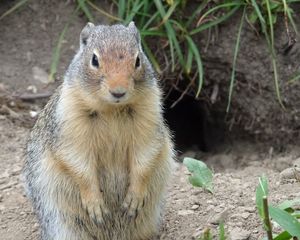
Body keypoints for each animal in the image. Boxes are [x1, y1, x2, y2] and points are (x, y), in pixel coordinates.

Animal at [24, 22, 173, 240]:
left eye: (138, 60)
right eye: (94, 60)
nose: (118, 91)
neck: (111, 109)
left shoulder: (149, 119)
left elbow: (144, 157)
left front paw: (134, 199)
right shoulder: (70, 125)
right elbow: (80, 165)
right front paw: (95, 205)